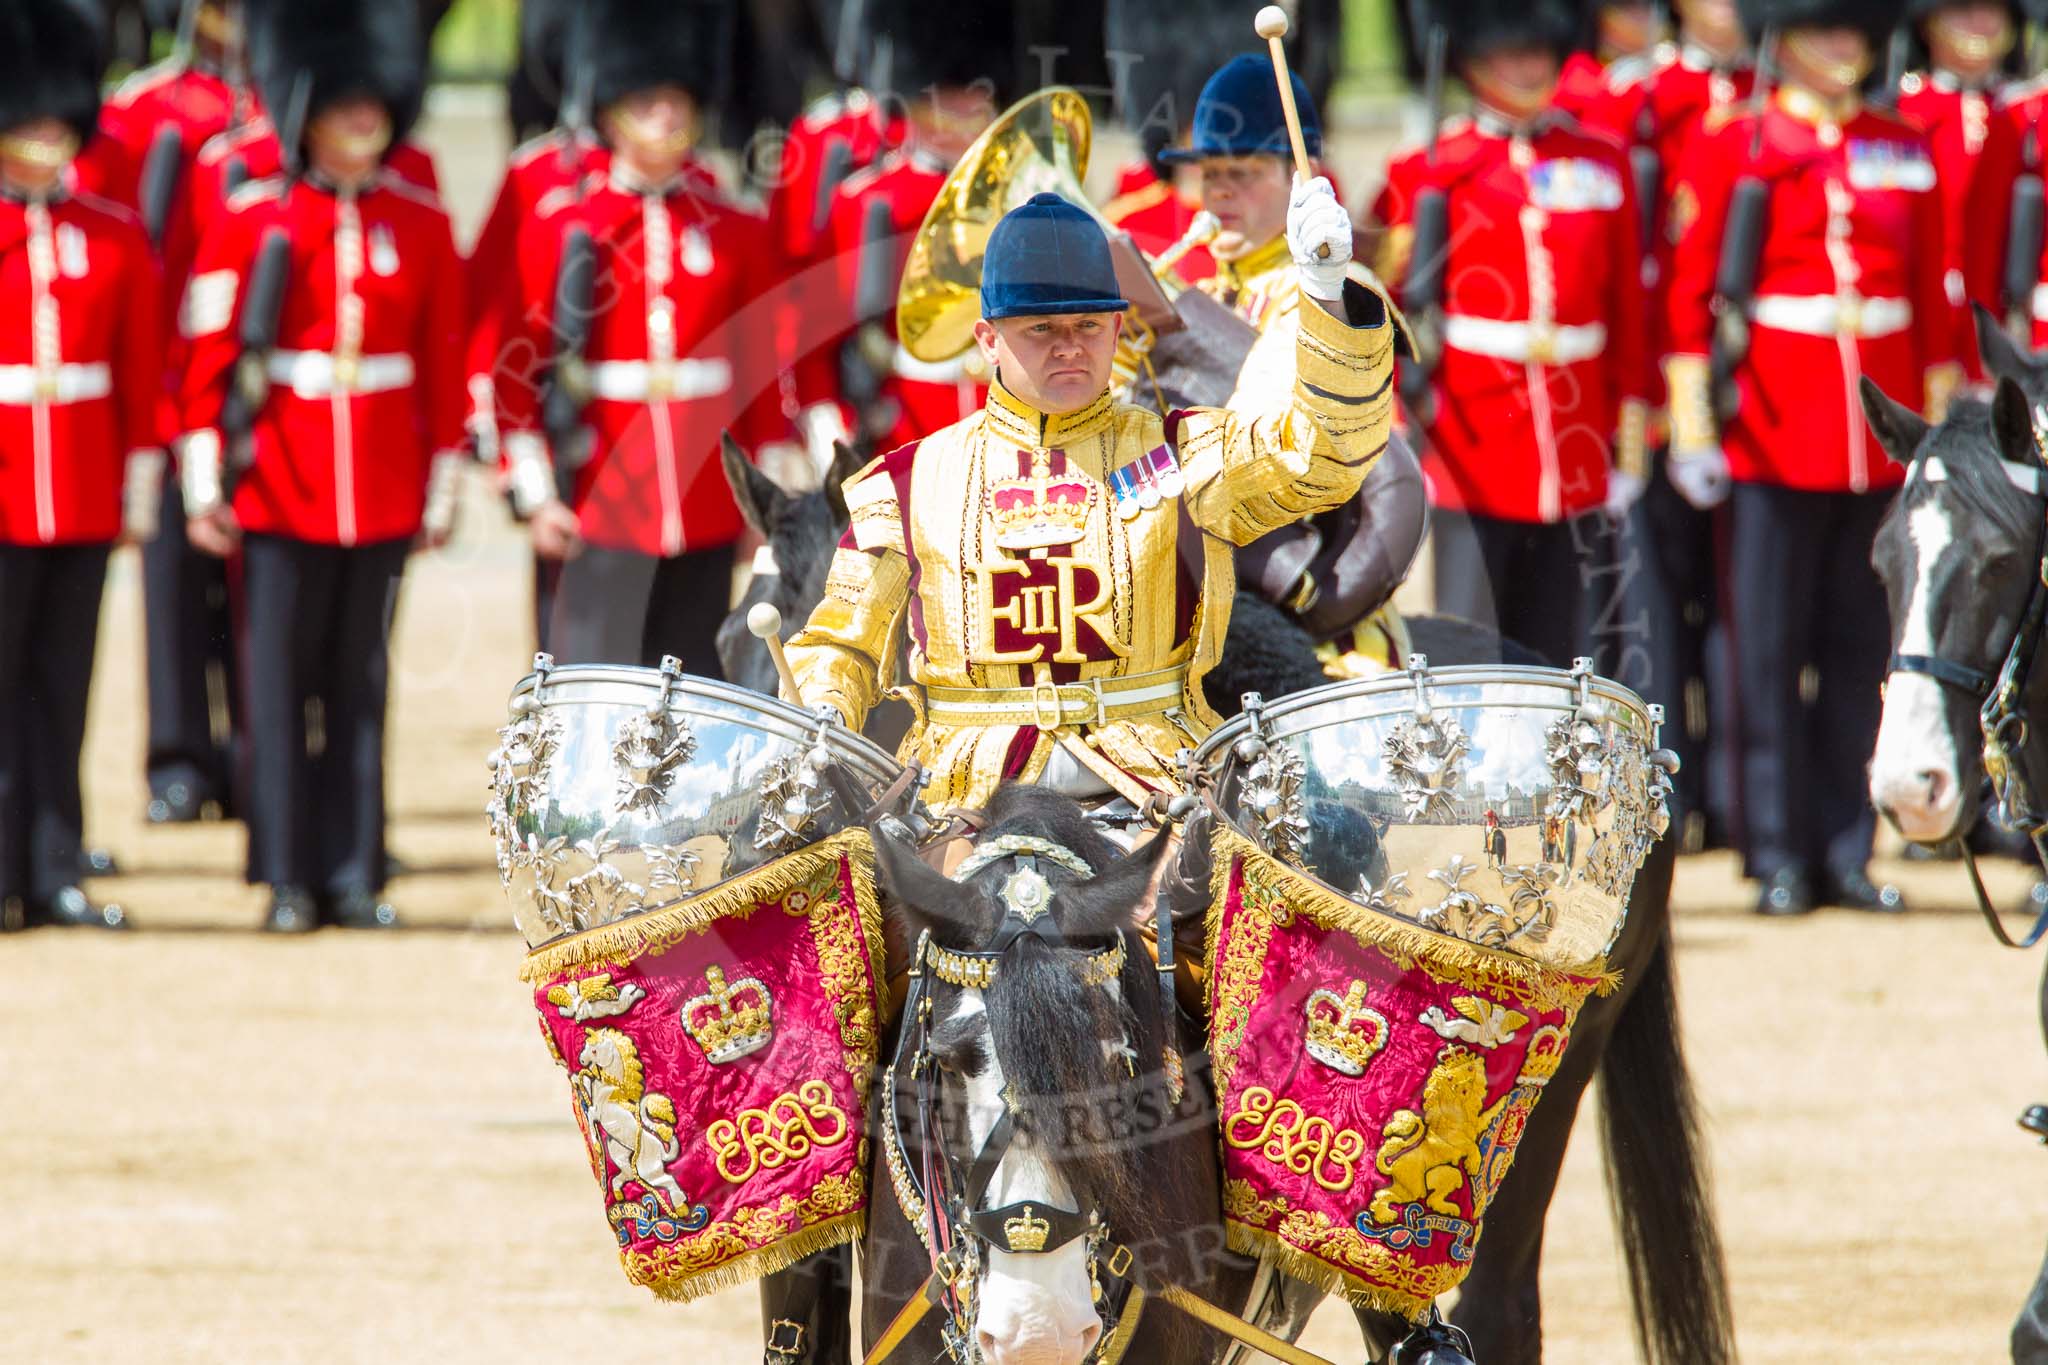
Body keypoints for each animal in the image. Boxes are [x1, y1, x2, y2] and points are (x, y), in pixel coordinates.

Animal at [577, 1031, 688, 1211]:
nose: (581, 1060)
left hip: (648, 1170)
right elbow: (585, 1081)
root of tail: (661, 1150)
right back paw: (619, 1194)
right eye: (586, 1045)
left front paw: (596, 1146)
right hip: (619, 1152)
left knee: (668, 1180)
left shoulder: (597, 1112)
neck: (612, 1088)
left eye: (594, 1050)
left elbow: (591, 1117)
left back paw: (680, 1208)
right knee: (626, 1175)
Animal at [1376, 1047, 1507, 1227]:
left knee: (1431, 1198)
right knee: (1384, 1195)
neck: (1458, 1112)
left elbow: (1488, 1114)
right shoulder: (1454, 1141)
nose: (1465, 1086)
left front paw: (1503, 1101)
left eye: (1470, 1069)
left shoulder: (1475, 1127)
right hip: (1414, 1188)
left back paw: (1448, 1208)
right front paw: (1473, 1165)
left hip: (1445, 1175)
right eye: (1450, 1078)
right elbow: (1471, 1146)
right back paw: (1386, 1215)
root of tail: (1393, 1165)